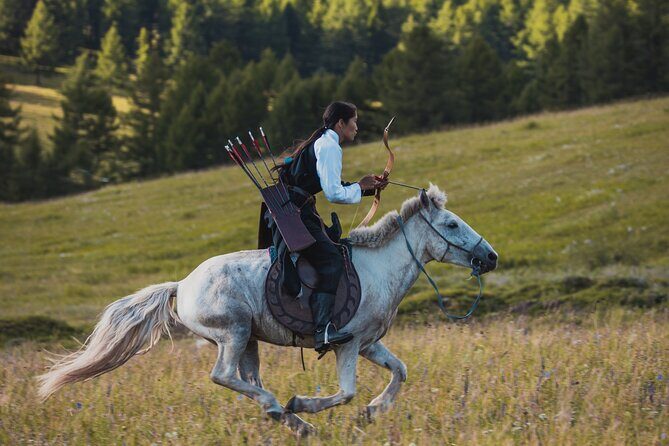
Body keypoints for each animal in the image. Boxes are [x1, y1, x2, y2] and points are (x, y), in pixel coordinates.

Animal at [38, 185, 497, 436]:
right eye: (452, 225)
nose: (490, 257)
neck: (378, 267)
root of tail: (181, 285)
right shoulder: (346, 345)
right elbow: (346, 392)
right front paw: (307, 403)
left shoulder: (368, 344)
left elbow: (400, 371)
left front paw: (372, 412)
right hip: (233, 333)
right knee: (224, 376)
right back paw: (286, 410)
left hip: (250, 341)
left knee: (246, 380)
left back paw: (292, 422)